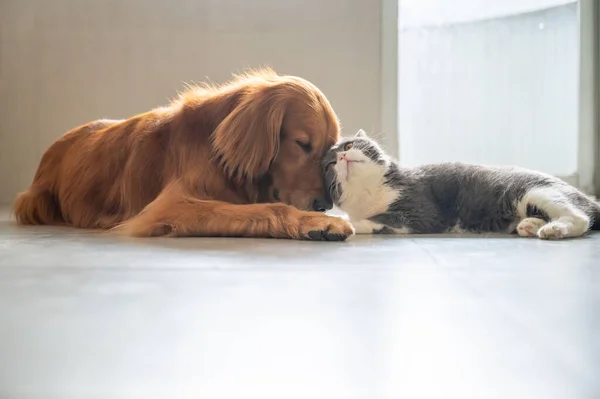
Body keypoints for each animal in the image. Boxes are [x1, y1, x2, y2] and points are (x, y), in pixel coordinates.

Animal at [12, 69, 352, 241]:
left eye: (327, 151)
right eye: (302, 144)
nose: (324, 205)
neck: (214, 151)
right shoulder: (169, 206)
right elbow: (270, 209)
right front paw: (319, 223)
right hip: (33, 202)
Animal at [324, 130, 600, 239]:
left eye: (349, 145)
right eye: (329, 164)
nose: (343, 157)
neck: (370, 193)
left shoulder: (421, 210)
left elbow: (382, 220)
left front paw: (347, 222)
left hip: (538, 190)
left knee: (580, 217)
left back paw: (553, 229)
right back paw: (530, 225)